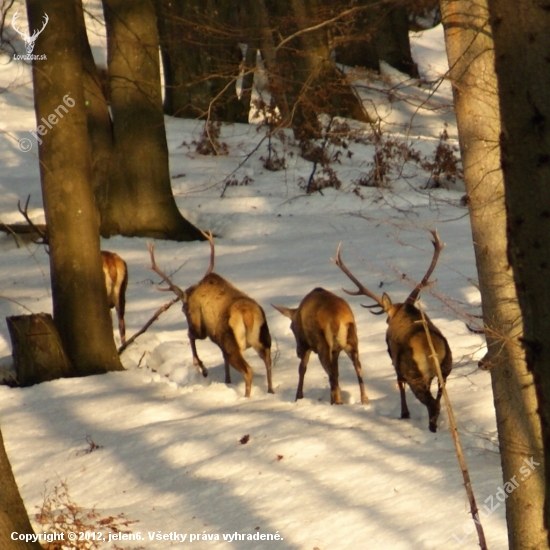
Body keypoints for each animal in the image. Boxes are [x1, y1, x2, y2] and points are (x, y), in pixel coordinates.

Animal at [149, 231, 274, 398]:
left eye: (184, 310)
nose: (184, 309)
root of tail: (247, 315)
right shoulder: (220, 343)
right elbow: (224, 361)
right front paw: (227, 381)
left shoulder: (200, 325)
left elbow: (190, 334)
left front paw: (202, 368)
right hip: (263, 339)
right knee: (268, 361)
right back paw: (270, 391)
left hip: (231, 342)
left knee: (248, 370)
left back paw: (246, 397)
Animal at [334, 230, 454, 436]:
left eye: (387, 320)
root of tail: (433, 349)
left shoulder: (395, 361)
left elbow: (400, 385)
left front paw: (404, 414)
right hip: (446, 368)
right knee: (440, 399)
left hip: (413, 371)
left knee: (432, 404)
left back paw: (431, 429)